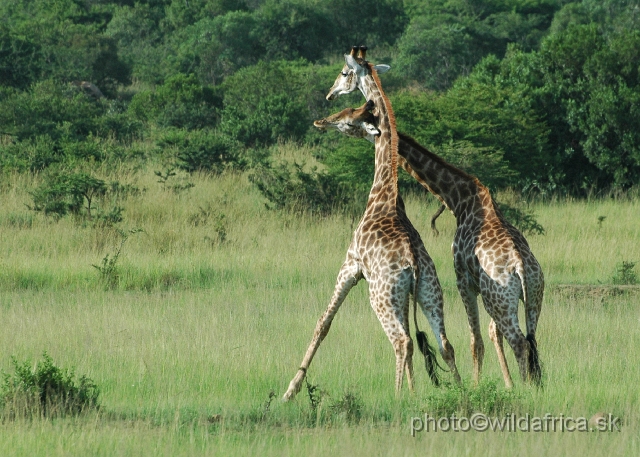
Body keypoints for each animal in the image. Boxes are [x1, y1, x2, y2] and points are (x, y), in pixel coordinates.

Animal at [282, 67, 460, 400]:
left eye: (349, 117)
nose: (321, 121)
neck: (385, 195)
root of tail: (414, 263)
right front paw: (415, 391)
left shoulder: (351, 265)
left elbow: (323, 322)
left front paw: (291, 391)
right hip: (429, 291)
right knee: (443, 344)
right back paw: (460, 392)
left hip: (380, 295)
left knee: (402, 341)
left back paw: (397, 398)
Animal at [322, 56, 544, 384]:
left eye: (345, 74)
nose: (329, 98)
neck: (459, 197)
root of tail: (520, 268)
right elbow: (487, 336)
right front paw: (503, 386)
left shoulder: (463, 276)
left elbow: (476, 340)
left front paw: (478, 386)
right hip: (533, 295)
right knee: (531, 340)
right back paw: (533, 386)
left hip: (499, 296)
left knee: (516, 341)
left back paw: (525, 388)